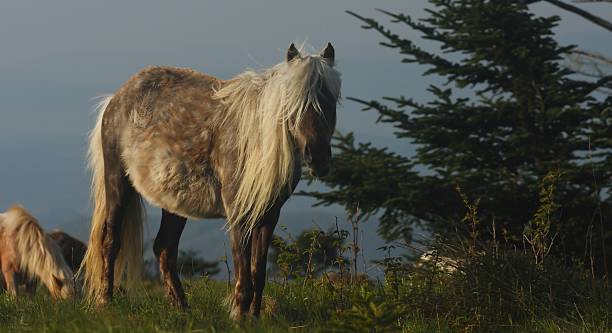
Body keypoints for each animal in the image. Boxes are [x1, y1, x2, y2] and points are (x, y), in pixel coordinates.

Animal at [79, 42, 342, 318]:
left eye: (331, 98)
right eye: (293, 102)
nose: (318, 157)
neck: (253, 143)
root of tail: (116, 99)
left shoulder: (269, 216)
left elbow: (258, 274)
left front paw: (255, 318)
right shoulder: (239, 215)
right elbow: (244, 277)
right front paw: (239, 317)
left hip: (174, 204)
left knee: (164, 248)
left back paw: (182, 309)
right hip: (117, 183)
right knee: (111, 242)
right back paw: (105, 303)